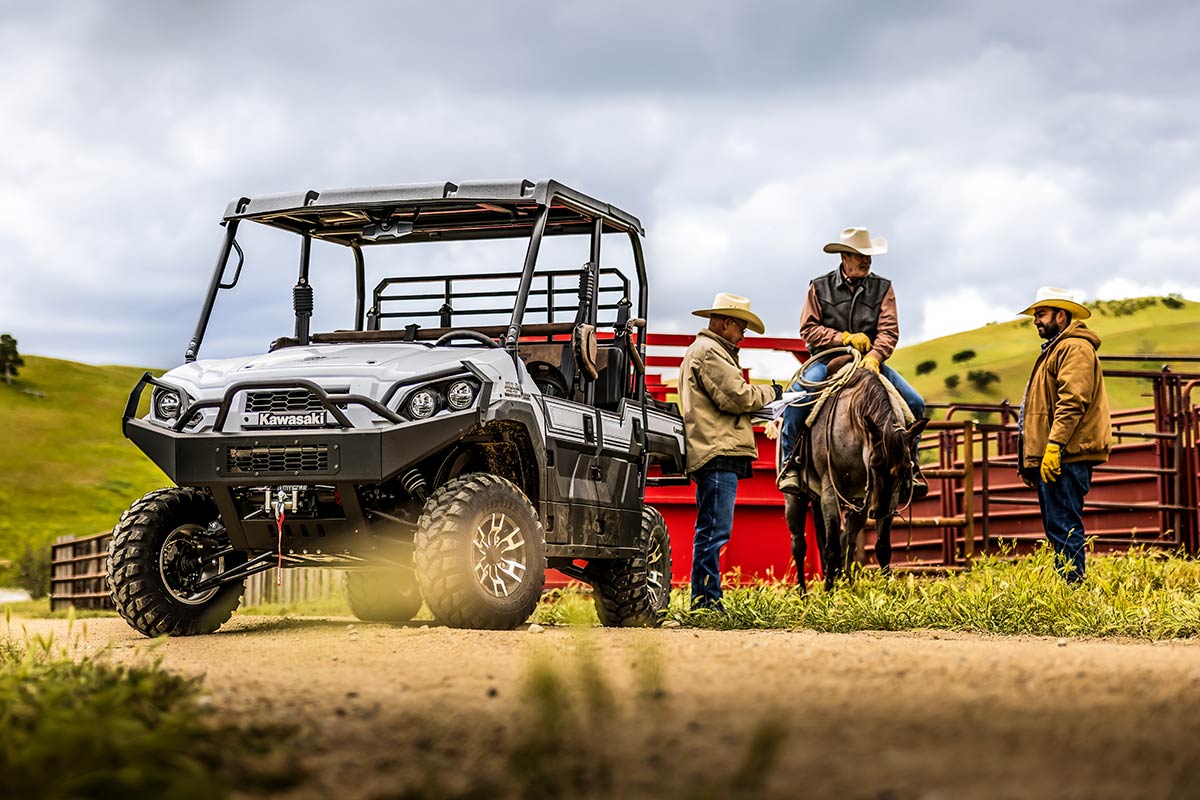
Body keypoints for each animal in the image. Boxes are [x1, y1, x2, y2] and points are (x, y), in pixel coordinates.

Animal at [788, 367, 927, 589]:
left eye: (906, 469)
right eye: (874, 464)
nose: (879, 512)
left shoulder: (886, 498)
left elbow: (882, 547)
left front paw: (888, 591)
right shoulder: (830, 491)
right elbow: (831, 548)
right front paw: (828, 592)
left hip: (858, 504)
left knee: (849, 540)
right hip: (795, 499)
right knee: (799, 545)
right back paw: (803, 592)